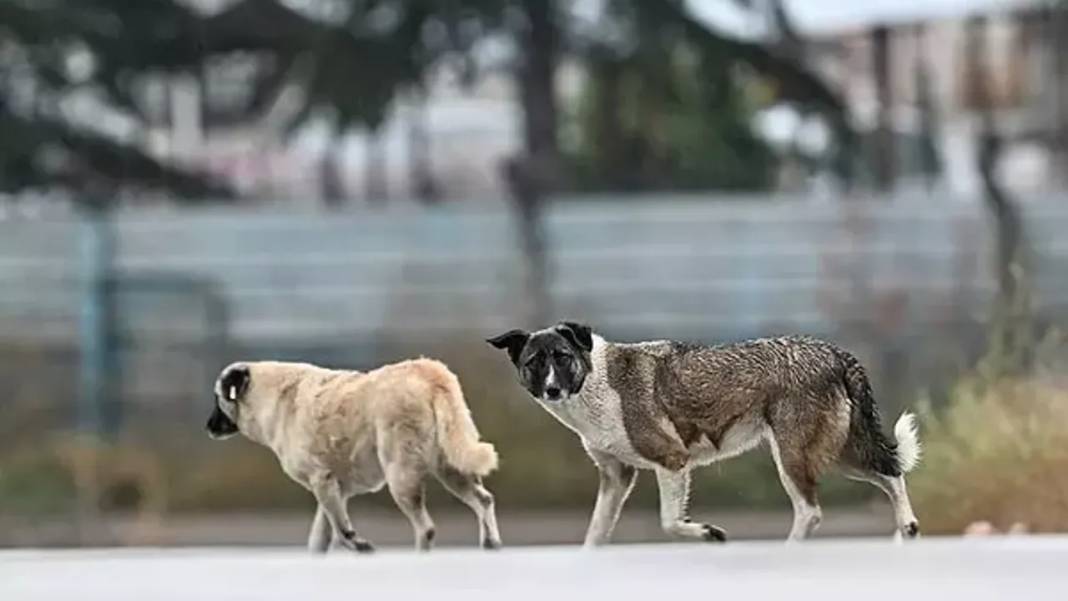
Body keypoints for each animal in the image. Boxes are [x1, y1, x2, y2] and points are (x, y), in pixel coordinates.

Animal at [207, 360, 499, 550]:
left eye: (217, 397)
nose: (208, 426)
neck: (273, 397)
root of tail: (429, 374)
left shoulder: (322, 481)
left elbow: (342, 531)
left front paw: (361, 545)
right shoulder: (335, 489)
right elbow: (320, 539)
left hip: (401, 474)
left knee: (425, 528)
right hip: (451, 464)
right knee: (483, 500)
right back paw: (491, 544)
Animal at [489, 322, 918, 546]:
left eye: (562, 358)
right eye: (534, 362)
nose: (551, 389)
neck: (595, 384)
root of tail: (833, 352)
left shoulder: (671, 462)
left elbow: (669, 521)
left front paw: (708, 532)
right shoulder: (616, 477)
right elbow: (594, 534)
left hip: (794, 455)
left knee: (811, 511)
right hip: (838, 452)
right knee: (891, 475)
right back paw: (907, 530)